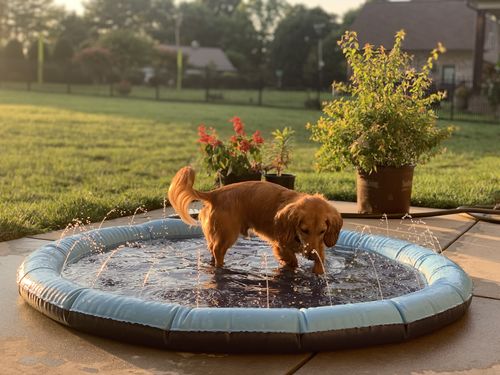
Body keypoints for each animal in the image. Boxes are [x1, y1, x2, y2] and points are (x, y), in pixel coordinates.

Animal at [168, 166, 344, 274]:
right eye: (304, 229)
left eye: (323, 231)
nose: (311, 256)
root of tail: (214, 194)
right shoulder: (280, 245)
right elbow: (292, 260)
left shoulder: (319, 246)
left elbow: (320, 263)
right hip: (227, 235)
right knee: (218, 252)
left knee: (212, 249)